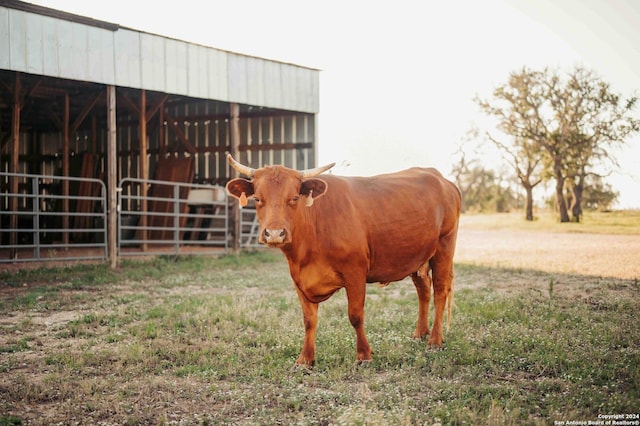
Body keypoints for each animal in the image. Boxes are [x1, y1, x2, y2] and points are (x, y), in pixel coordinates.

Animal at [225, 154, 460, 366]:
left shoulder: (355, 272)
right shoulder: (299, 280)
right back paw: (420, 333)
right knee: (423, 290)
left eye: (294, 198)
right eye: (257, 199)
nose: (274, 234)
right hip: (418, 257)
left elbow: (355, 315)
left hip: (444, 248)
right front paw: (305, 360)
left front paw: (364, 356)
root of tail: (442, 180)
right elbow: (309, 320)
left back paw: (434, 341)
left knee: (440, 292)